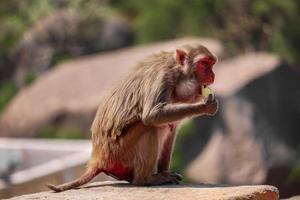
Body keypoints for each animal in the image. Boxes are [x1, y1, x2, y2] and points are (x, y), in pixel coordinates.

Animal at [48, 43, 219, 192]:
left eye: (212, 64)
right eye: (204, 63)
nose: (213, 75)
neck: (178, 75)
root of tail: (98, 159)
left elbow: (171, 129)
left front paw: (164, 172)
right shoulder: (161, 77)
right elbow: (152, 115)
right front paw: (205, 106)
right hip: (120, 152)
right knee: (149, 127)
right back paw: (145, 180)